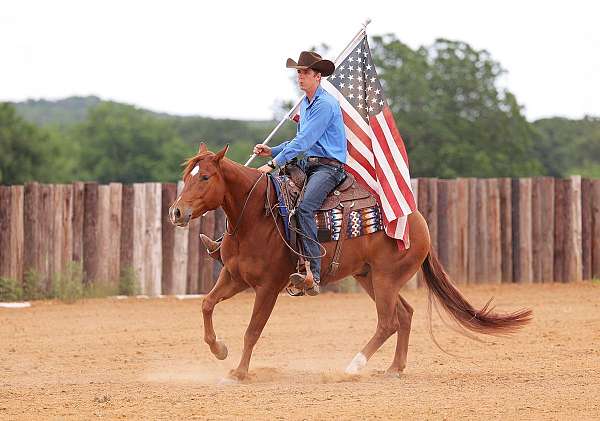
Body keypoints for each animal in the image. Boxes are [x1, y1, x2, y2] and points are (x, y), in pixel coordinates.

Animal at [168, 144, 528, 380]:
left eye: (205, 177)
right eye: (187, 175)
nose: (176, 212)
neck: (256, 215)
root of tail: (416, 217)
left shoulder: (268, 287)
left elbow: (252, 330)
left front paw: (240, 371)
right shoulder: (233, 276)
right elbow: (206, 304)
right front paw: (219, 349)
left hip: (385, 279)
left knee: (388, 322)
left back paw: (355, 365)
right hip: (369, 277)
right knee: (405, 315)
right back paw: (394, 368)